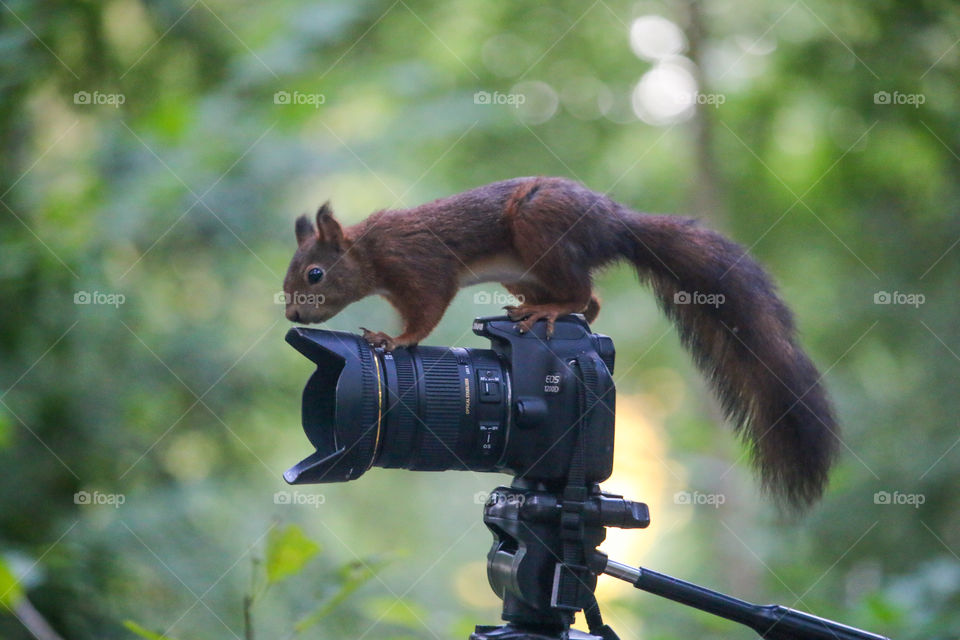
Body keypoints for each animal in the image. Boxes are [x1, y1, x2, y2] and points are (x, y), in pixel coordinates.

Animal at [282, 176, 838, 508]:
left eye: (314, 274)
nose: (290, 313)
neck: (370, 253)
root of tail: (616, 222)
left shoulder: (421, 266)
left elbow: (427, 311)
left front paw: (394, 339)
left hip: (539, 225)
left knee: (584, 296)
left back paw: (548, 312)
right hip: (525, 269)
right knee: (588, 303)